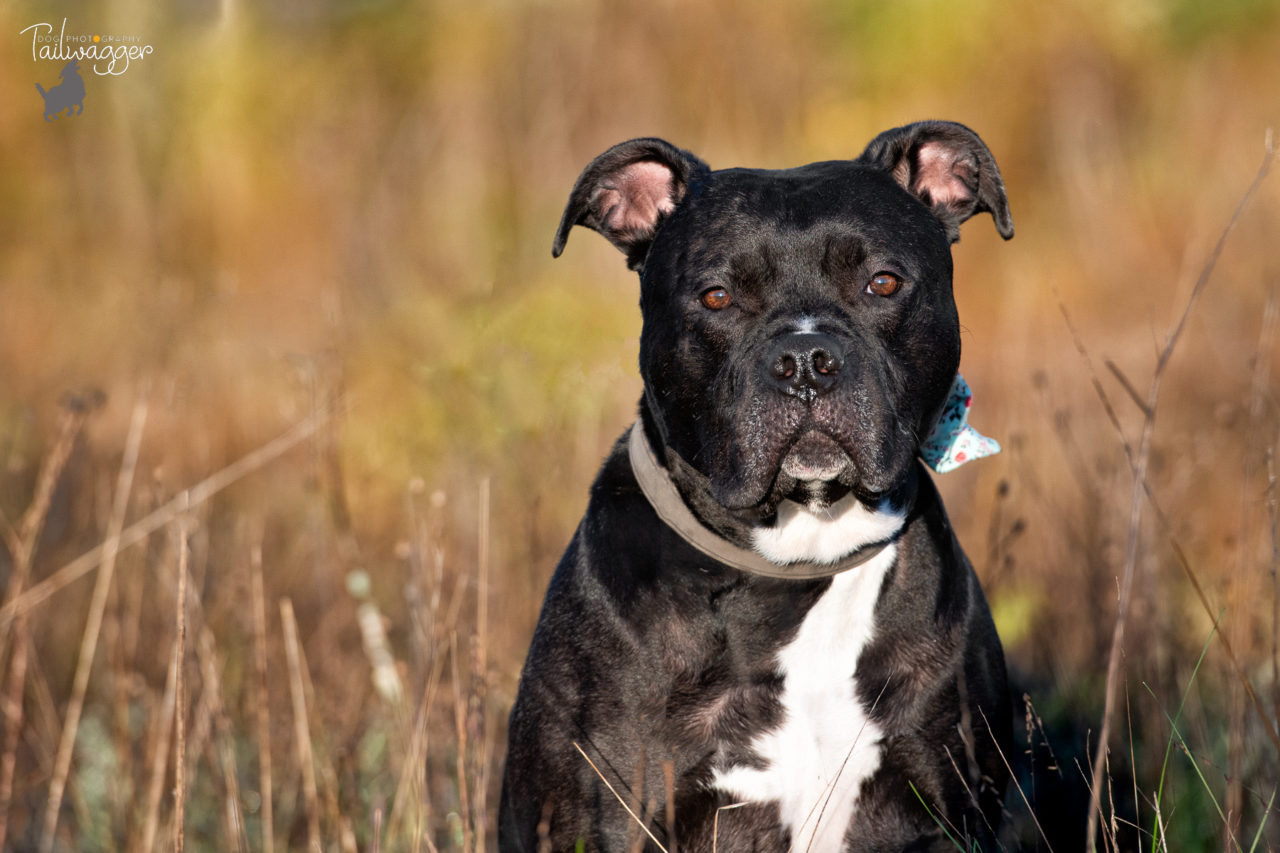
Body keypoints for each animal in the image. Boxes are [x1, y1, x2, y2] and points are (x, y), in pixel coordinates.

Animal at [504, 121, 1013, 850]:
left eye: (883, 282)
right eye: (716, 296)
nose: (805, 361)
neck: (799, 564)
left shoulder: (946, 803)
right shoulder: (614, 812)